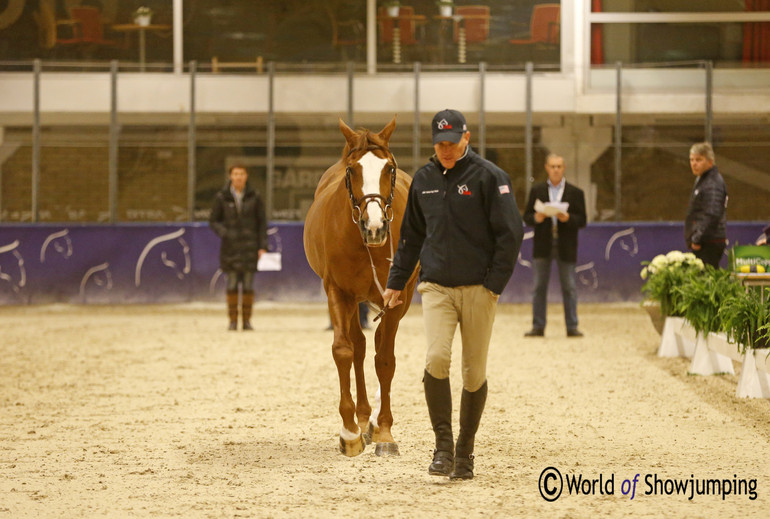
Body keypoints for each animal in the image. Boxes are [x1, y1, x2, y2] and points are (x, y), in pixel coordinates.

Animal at [304, 119, 416, 460]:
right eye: (352, 170)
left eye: (389, 168)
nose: (374, 226)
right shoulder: (338, 292)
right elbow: (344, 350)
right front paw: (350, 432)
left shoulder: (397, 297)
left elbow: (386, 360)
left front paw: (386, 432)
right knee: (360, 346)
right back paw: (364, 419)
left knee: (378, 346)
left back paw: (375, 422)